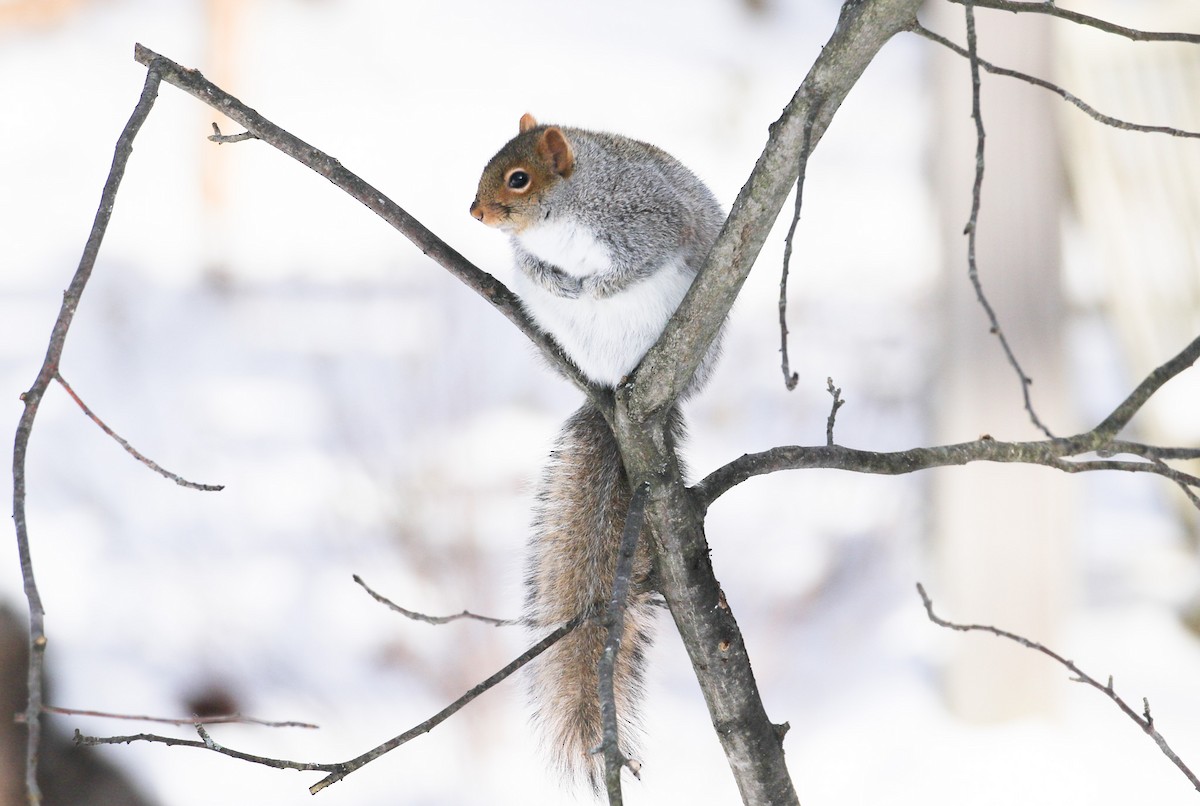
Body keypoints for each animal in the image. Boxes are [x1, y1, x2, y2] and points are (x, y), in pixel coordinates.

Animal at [471, 113, 723, 792]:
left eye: (519, 178)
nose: (475, 212)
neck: (562, 218)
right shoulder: (530, 255)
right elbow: (533, 268)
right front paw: (557, 281)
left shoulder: (645, 217)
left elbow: (639, 260)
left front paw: (595, 285)